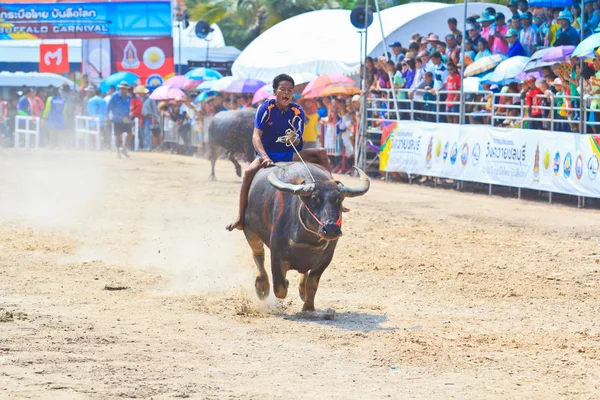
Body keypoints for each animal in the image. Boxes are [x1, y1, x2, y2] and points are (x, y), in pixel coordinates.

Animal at [241, 161, 368, 310]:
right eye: (314, 198)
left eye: (339, 198)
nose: (331, 229)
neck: (307, 241)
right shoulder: (276, 255)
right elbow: (279, 288)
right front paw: (284, 284)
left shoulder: (326, 258)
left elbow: (311, 283)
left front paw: (308, 307)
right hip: (250, 230)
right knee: (258, 255)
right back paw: (262, 286)